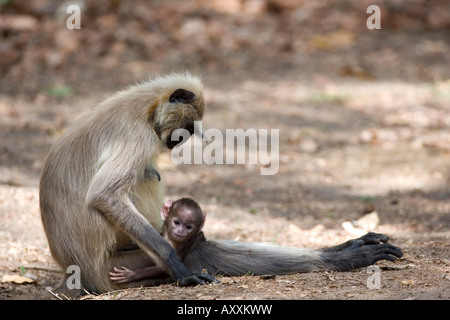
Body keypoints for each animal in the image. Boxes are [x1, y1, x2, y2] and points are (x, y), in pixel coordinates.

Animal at [39, 72, 404, 298]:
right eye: (186, 127)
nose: (180, 141)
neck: (143, 107)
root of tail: (75, 273)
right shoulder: (136, 134)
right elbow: (104, 195)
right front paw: (178, 268)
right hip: (115, 267)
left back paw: (343, 251)